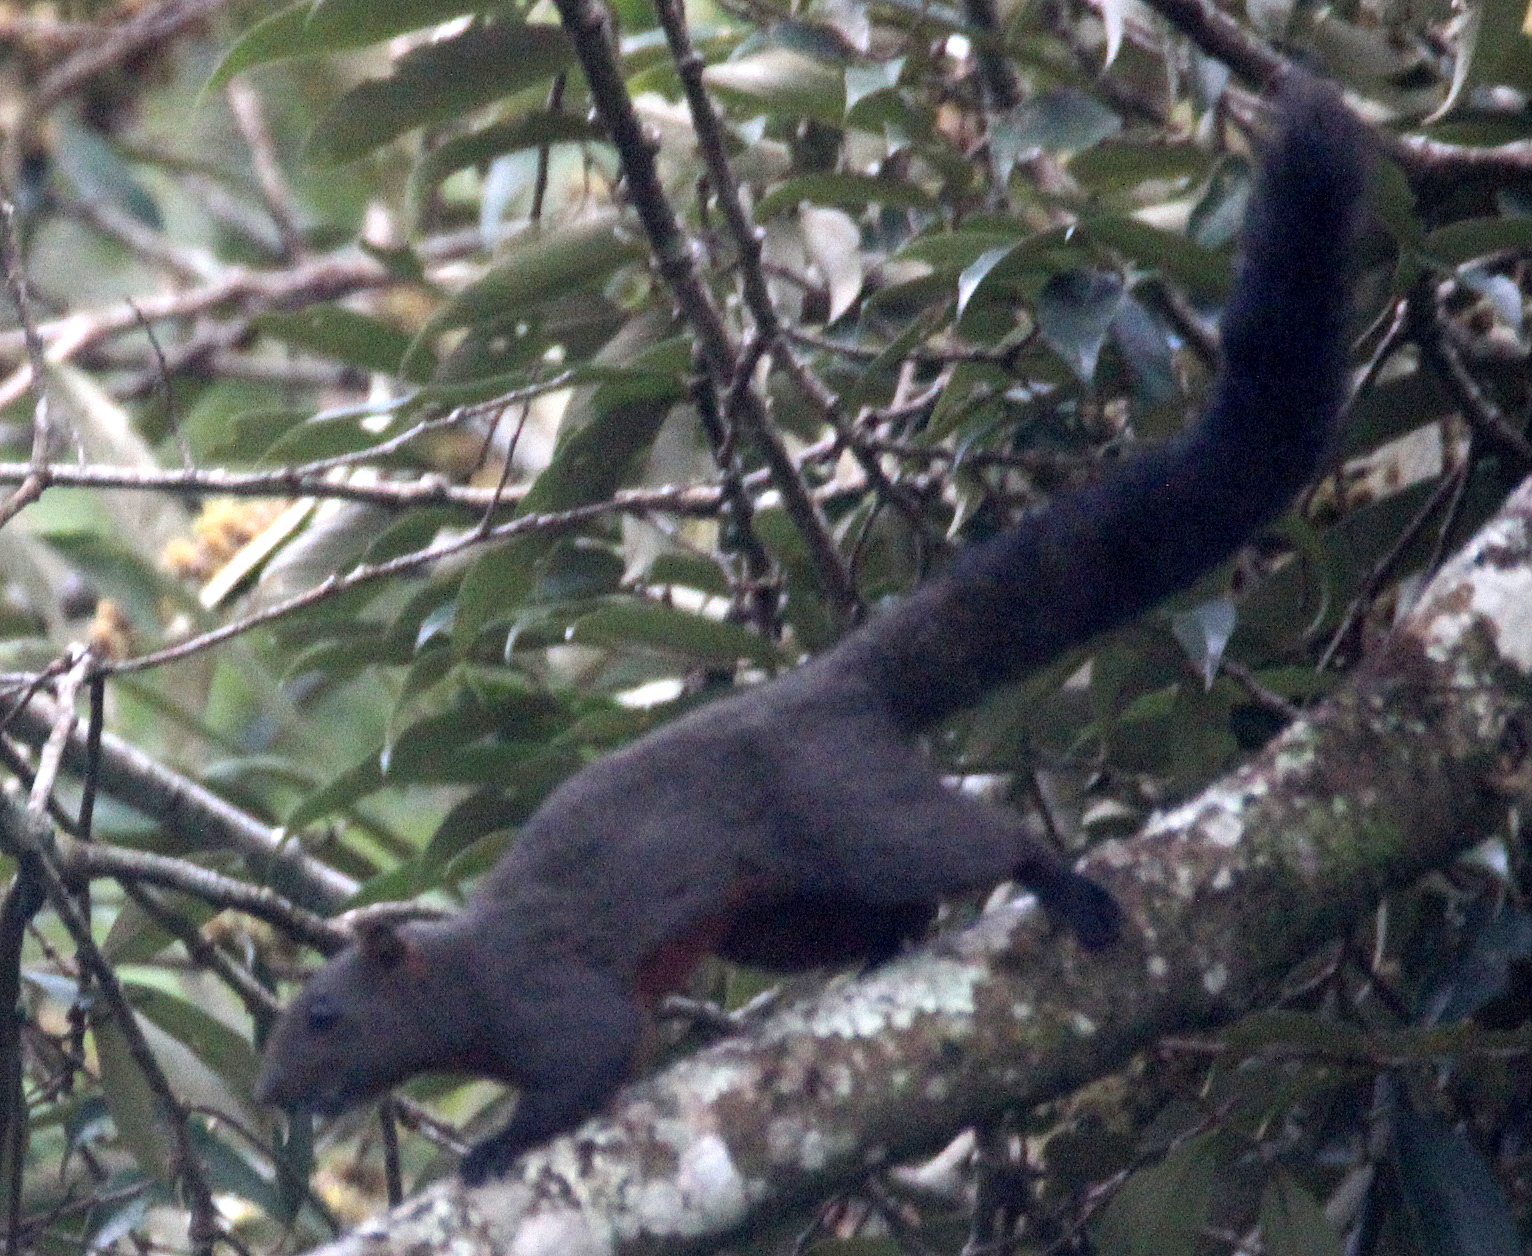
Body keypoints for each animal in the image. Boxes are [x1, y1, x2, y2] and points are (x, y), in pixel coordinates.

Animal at [256, 76, 1370, 1186]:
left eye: (323, 1015)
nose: (270, 1096)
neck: (464, 975)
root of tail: (829, 685)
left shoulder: (542, 992)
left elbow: (594, 1055)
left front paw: (493, 1148)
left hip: (845, 811)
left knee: (961, 845)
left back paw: (1058, 890)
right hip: (776, 914)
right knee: (892, 911)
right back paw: (881, 959)